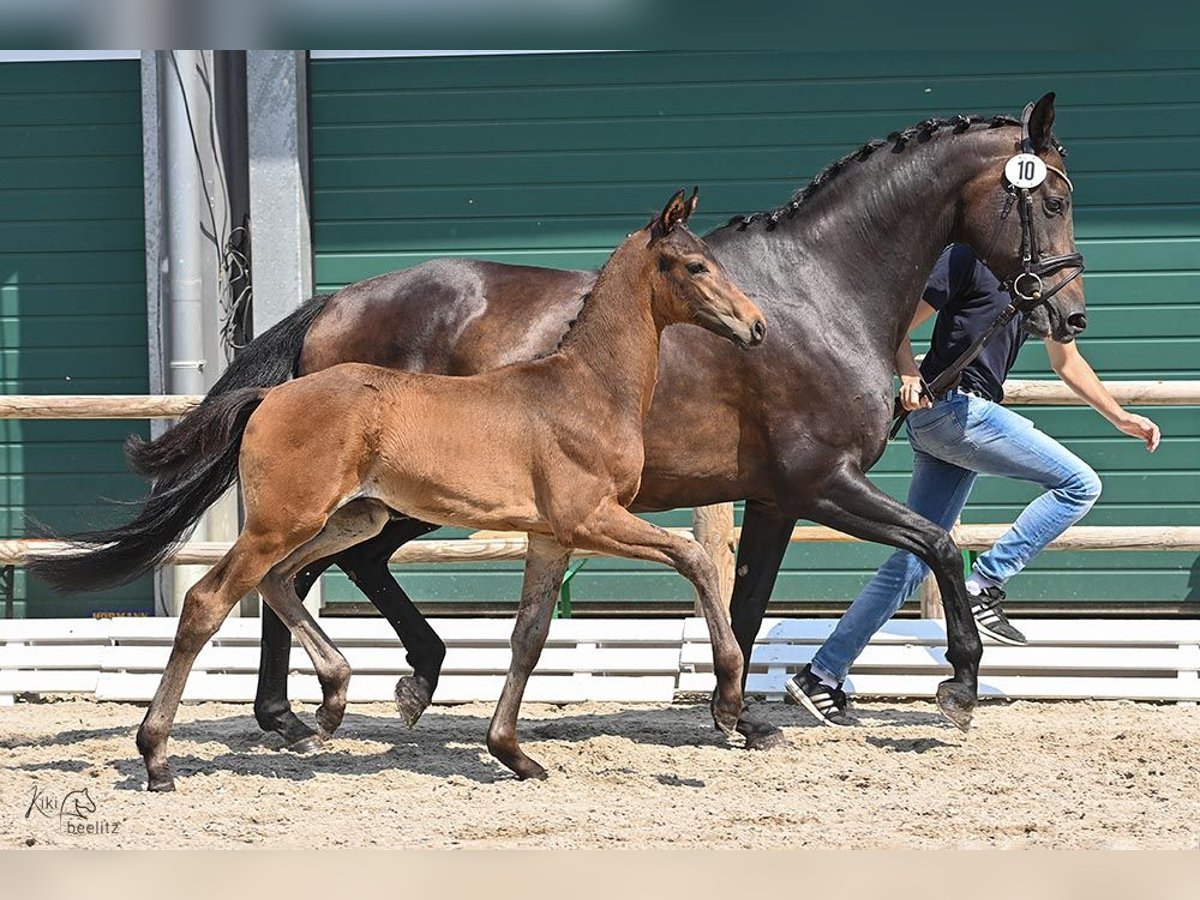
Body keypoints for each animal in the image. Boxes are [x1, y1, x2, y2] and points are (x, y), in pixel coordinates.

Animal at [133, 190, 768, 787]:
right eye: (695, 265)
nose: (757, 325)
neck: (587, 387)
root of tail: (271, 395)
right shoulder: (588, 517)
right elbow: (693, 556)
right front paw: (728, 702)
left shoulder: (549, 538)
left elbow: (529, 638)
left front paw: (513, 753)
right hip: (283, 521)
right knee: (208, 601)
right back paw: (158, 757)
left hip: (351, 518)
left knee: (280, 579)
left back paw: (333, 701)